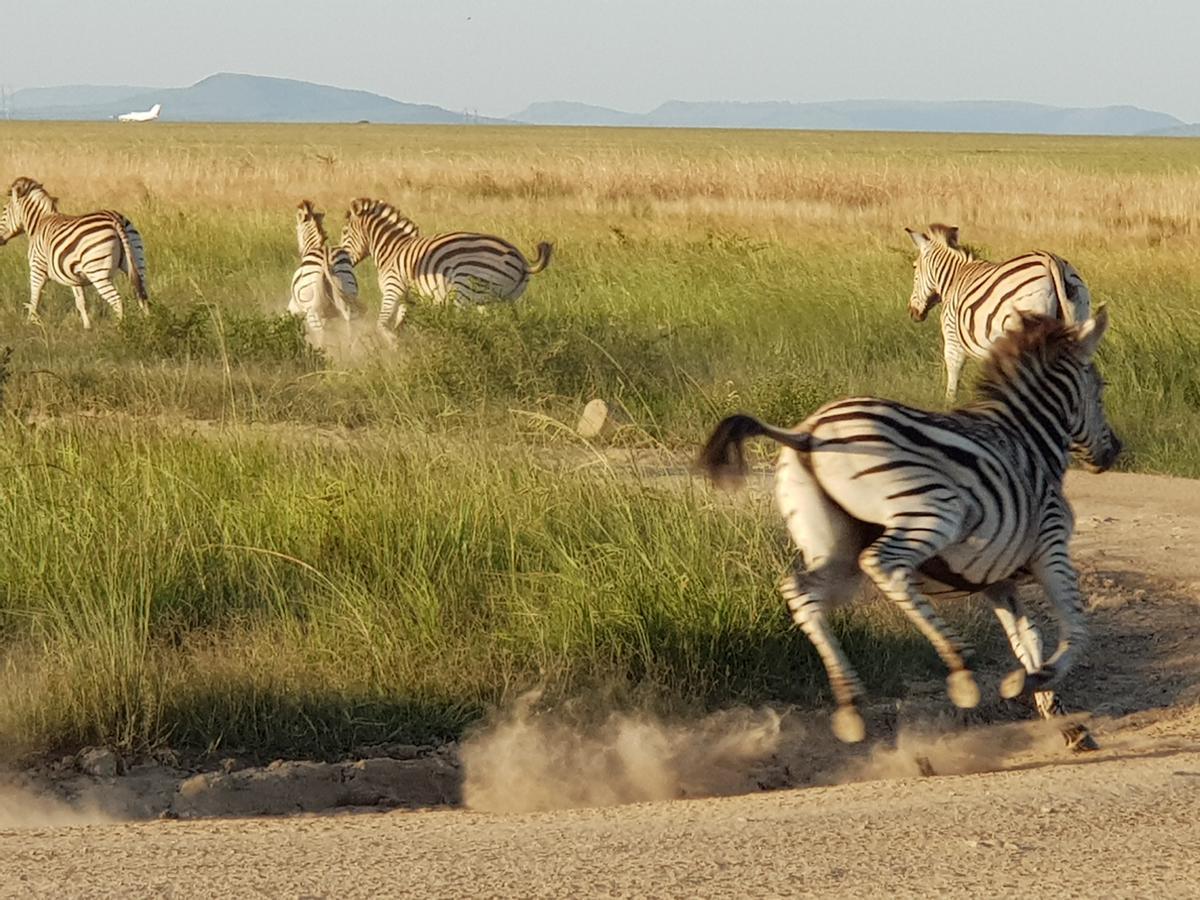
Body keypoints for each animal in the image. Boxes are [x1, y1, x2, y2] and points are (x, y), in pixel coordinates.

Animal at [0, 177, 148, 328]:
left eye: (4, 210)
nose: (0, 240)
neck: (39, 224)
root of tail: (114, 218)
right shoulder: (73, 278)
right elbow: (81, 303)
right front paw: (87, 328)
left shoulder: (37, 269)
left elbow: (34, 299)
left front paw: (30, 324)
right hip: (136, 261)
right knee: (142, 292)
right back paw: (148, 321)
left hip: (97, 272)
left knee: (116, 299)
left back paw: (119, 327)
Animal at [289, 200, 362, 340]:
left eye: (297, 229)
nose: (299, 250)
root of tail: (325, 258)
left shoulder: (294, 308)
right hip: (346, 301)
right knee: (349, 329)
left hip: (313, 311)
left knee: (321, 335)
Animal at [340, 198, 554, 338]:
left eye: (344, 232)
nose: (340, 256)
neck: (392, 249)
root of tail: (520, 258)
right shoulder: (408, 300)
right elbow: (399, 327)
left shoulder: (393, 289)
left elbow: (382, 326)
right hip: (505, 299)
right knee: (509, 326)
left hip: (467, 291)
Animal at [700, 309, 1118, 748]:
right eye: (1101, 389)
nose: (1115, 451)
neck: (1031, 442)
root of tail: (807, 432)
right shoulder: (1050, 546)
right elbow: (1076, 629)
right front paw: (1047, 688)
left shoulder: (996, 580)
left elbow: (1027, 639)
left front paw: (1052, 707)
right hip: (932, 510)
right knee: (883, 563)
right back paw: (961, 669)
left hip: (835, 550)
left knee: (802, 592)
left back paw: (850, 703)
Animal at [902, 222, 1094, 400]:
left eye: (914, 267)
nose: (912, 312)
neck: (955, 278)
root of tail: (1051, 260)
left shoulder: (952, 337)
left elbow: (953, 374)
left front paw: (950, 404)